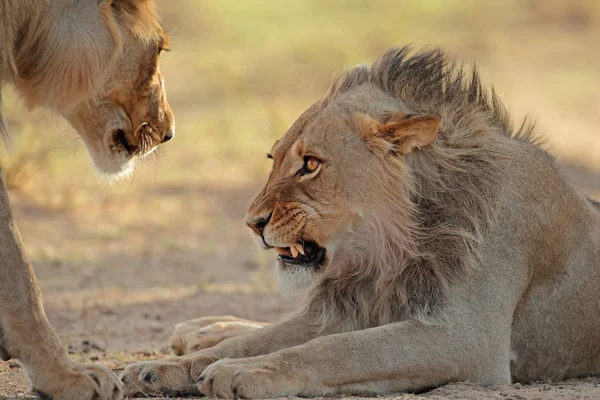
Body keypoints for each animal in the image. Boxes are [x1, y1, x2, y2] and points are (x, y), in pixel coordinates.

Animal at [118, 47, 600, 396]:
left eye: (311, 164)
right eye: (274, 159)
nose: (253, 223)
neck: (387, 253)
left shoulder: (467, 337)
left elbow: (336, 351)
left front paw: (241, 373)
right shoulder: (342, 310)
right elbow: (263, 340)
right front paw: (159, 368)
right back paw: (203, 331)